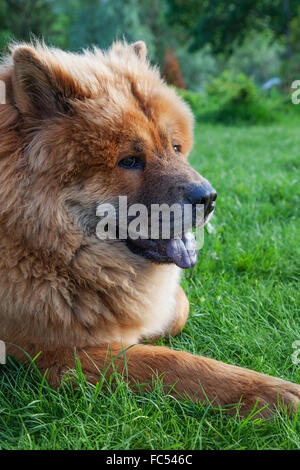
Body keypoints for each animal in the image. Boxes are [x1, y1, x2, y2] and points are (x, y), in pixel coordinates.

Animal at [0, 40, 298, 414]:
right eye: (129, 161)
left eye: (175, 147)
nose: (209, 197)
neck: (38, 246)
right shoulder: (60, 353)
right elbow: (174, 363)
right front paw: (272, 394)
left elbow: (176, 308)